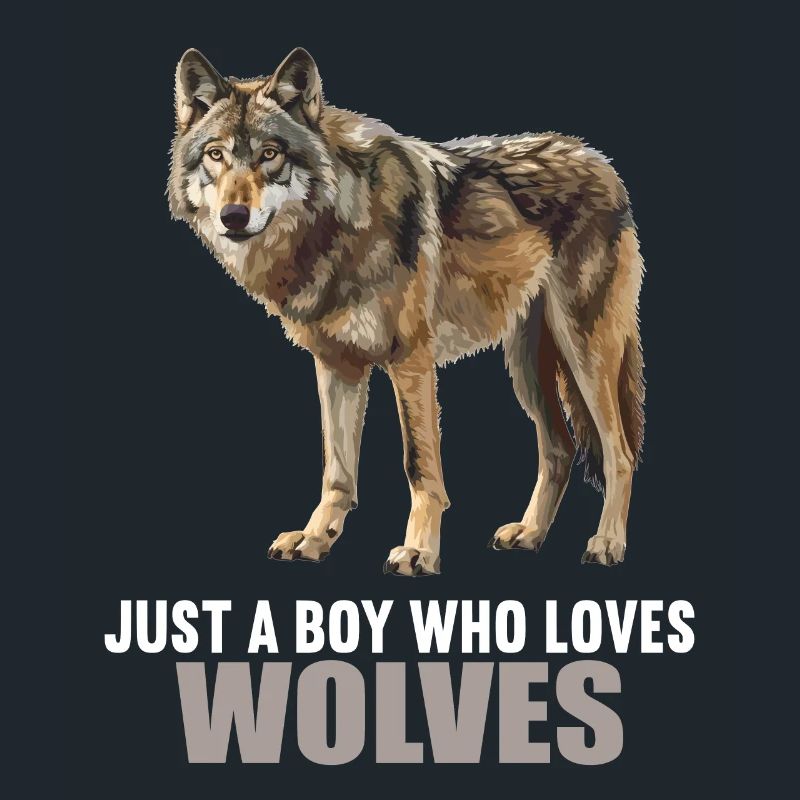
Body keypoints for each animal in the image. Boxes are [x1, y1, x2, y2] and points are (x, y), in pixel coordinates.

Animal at [168, 48, 645, 574]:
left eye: (270, 154)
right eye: (216, 155)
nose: (233, 217)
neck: (340, 226)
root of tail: (600, 161)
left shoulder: (410, 361)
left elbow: (419, 465)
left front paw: (419, 550)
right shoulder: (337, 365)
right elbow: (337, 470)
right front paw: (315, 538)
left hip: (584, 353)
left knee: (620, 453)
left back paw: (608, 542)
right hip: (525, 366)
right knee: (559, 448)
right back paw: (530, 533)